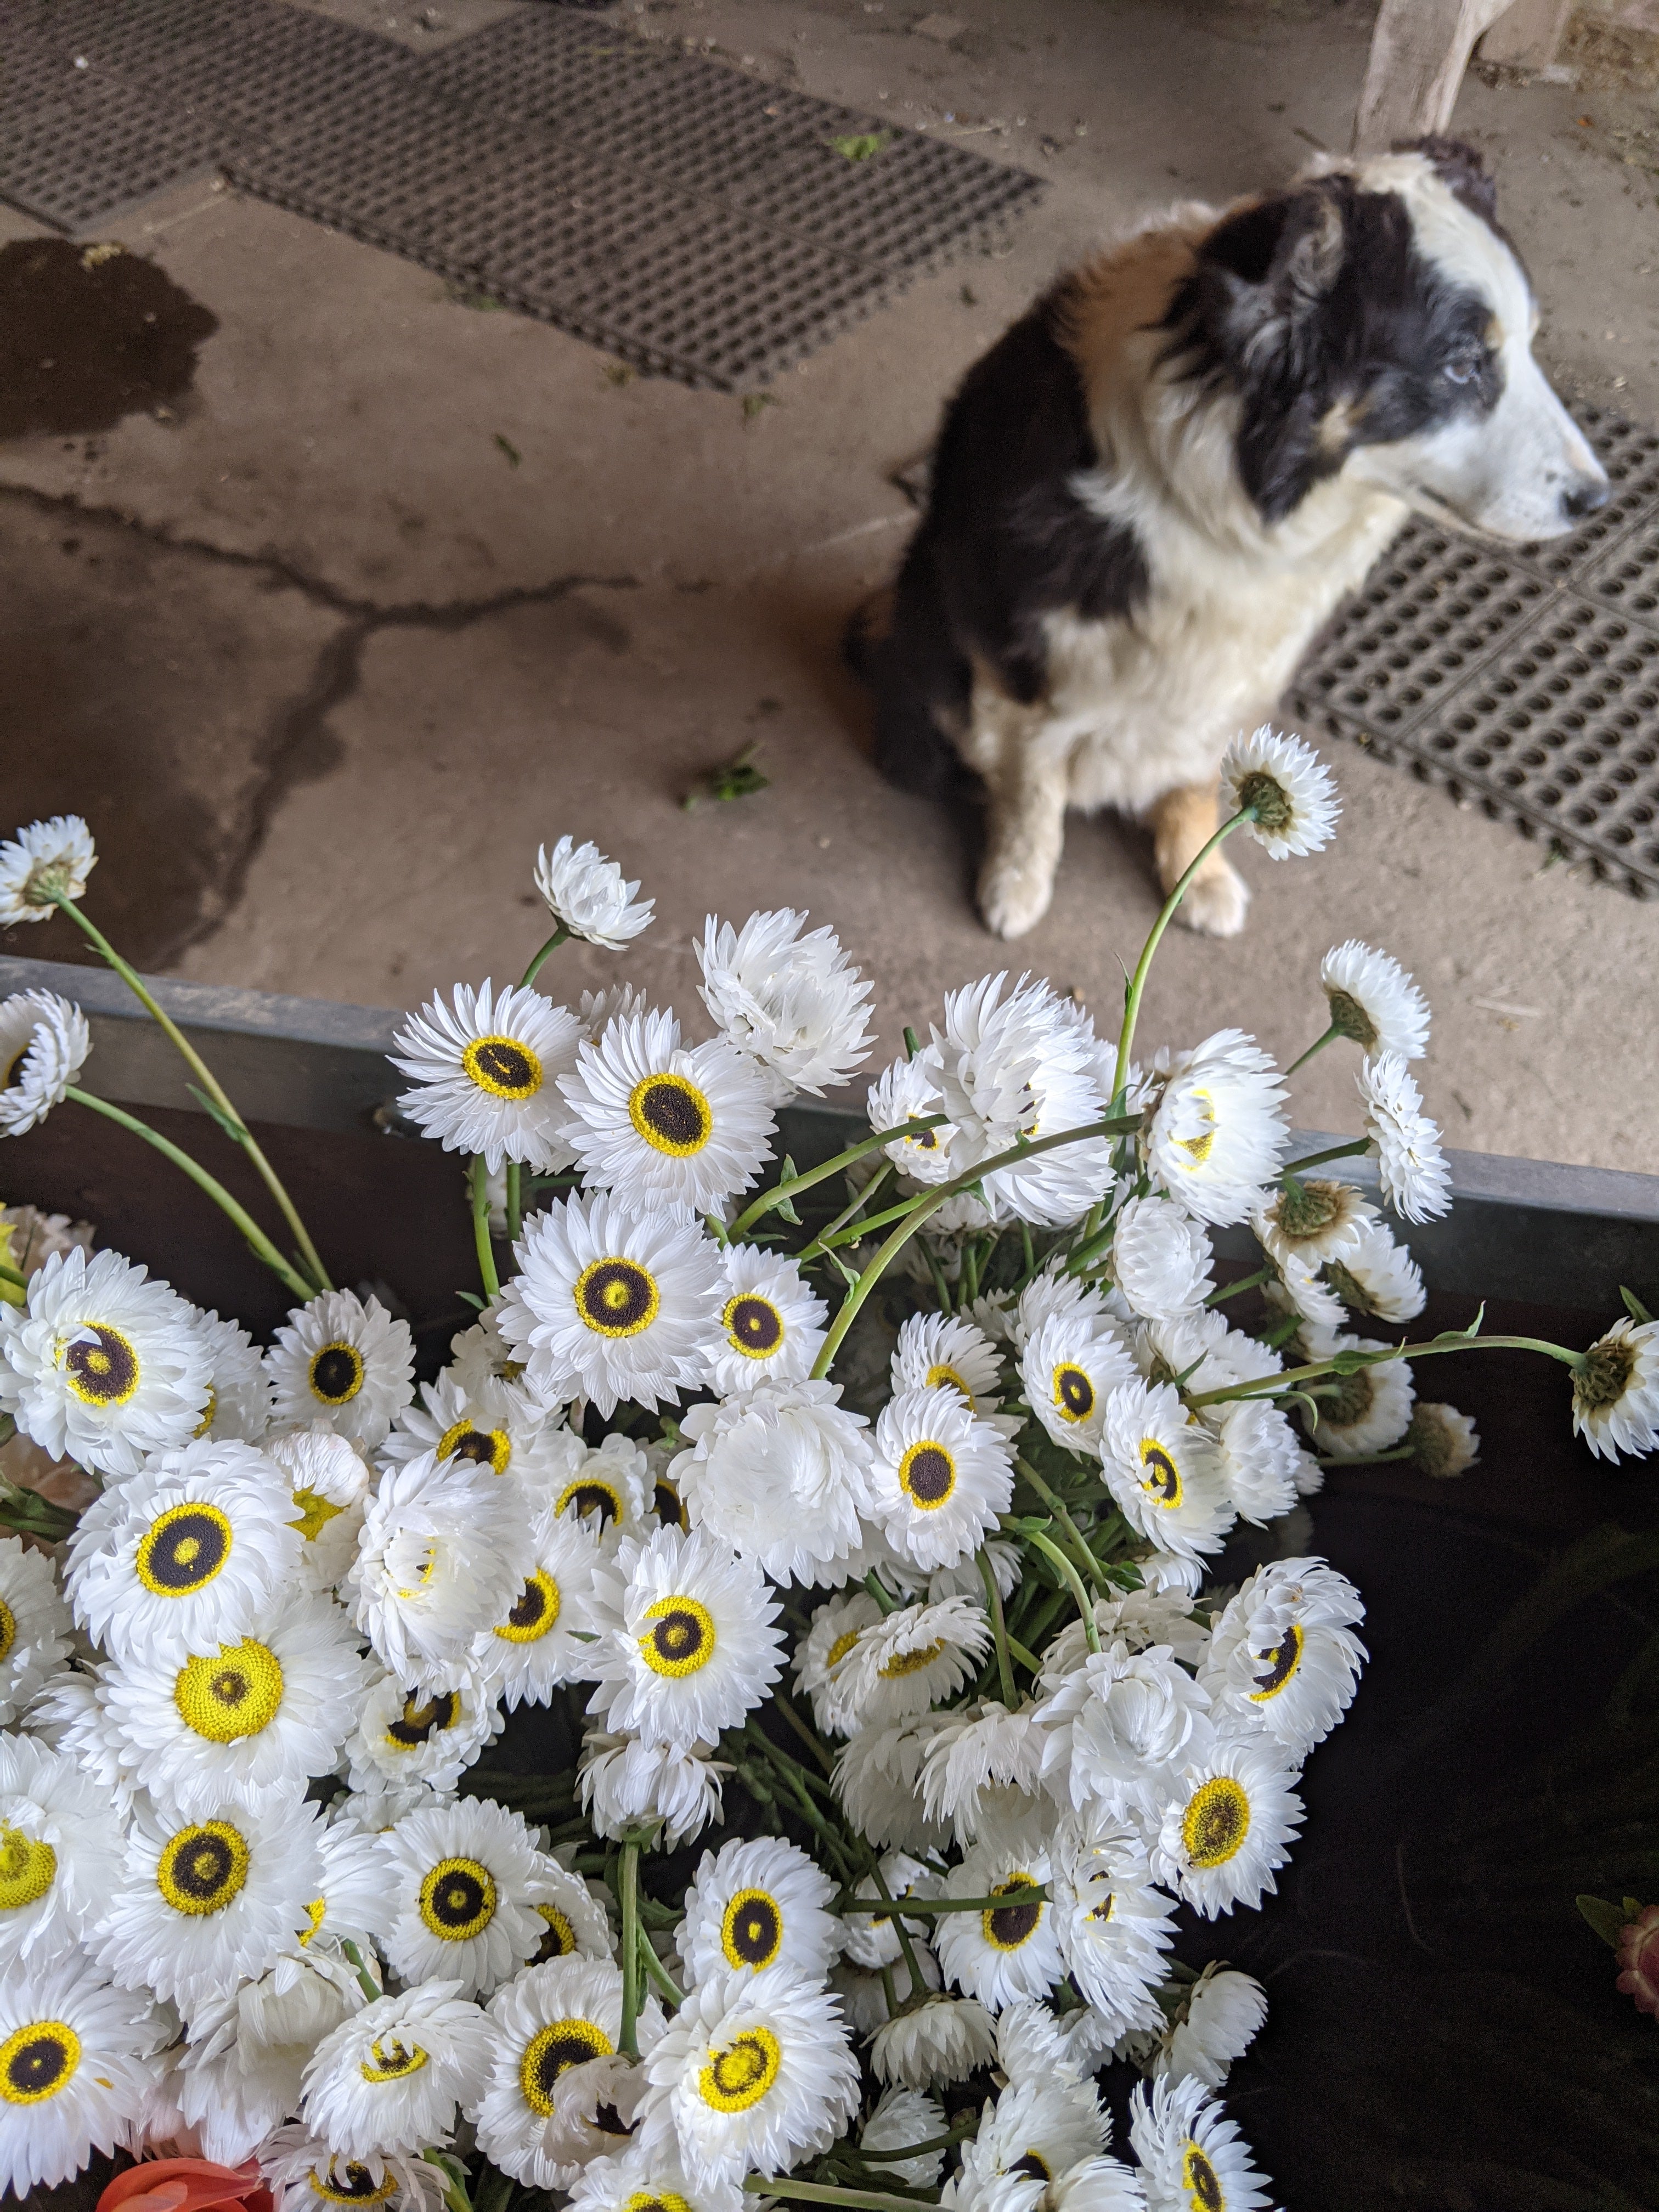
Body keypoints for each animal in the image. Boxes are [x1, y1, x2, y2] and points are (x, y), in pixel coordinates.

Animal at [849, 138, 1601, 933]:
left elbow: (1194, 780)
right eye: (1462, 365)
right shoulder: (1021, 660)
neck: (1226, 495)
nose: (1597, 498)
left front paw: (1197, 873)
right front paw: (1016, 885)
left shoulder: (1235, 672)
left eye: (1530, 345)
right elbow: (1033, 787)